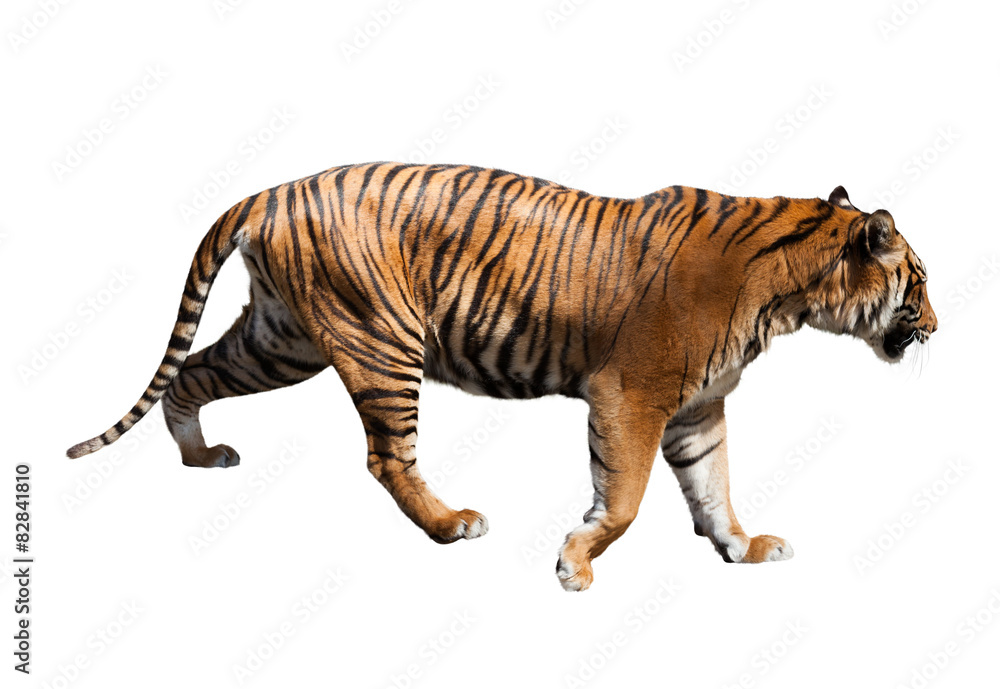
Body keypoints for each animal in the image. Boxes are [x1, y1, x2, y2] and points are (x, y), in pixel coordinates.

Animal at [67, 162, 937, 591]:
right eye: (920, 283)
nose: (937, 324)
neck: (793, 293)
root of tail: (273, 189)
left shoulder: (698, 408)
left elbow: (712, 485)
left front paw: (742, 547)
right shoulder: (632, 395)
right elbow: (625, 498)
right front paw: (575, 563)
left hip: (282, 339)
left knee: (192, 373)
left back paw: (199, 457)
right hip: (381, 342)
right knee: (387, 456)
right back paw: (451, 523)